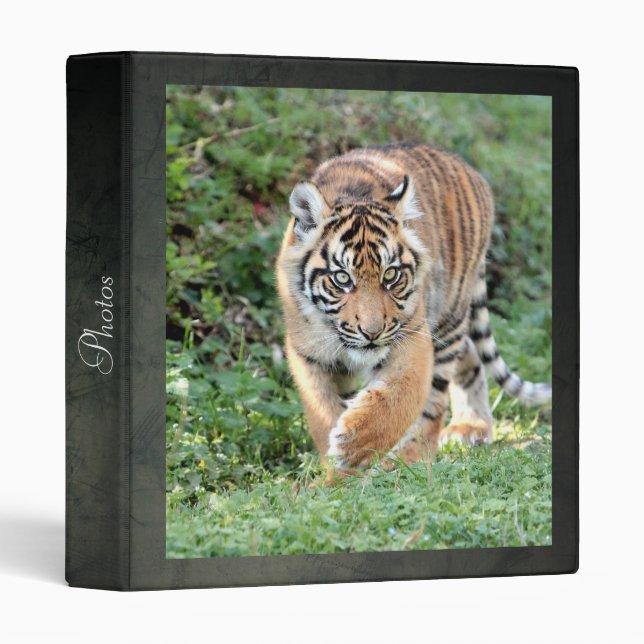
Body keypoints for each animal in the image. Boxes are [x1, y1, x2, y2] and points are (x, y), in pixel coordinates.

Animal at [276, 143, 551, 471]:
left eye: (390, 275)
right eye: (342, 278)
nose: (371, 332)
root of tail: (467, 167)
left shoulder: (414, 338)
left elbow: (398, 399)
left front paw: (353, 446)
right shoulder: (308, 354)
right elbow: (322, 411)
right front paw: (335, 466)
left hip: (448, 319)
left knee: (435, 401)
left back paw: (413, 459)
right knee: (471, 355)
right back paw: (472, 427)